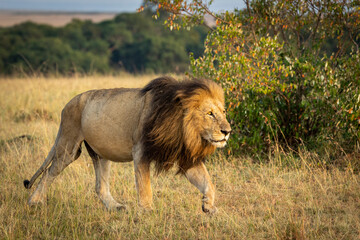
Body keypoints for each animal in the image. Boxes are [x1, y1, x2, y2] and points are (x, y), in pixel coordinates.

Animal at [23, 76, 231, 213]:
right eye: (210, 114)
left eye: (223, 112)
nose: (227, 131)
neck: (182, 129)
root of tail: (67, 104)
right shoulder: (140, 152)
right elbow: (145, 187)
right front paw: (147, 211)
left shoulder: (185, 157)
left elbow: (207, 182)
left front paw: (208, 206)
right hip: (68, 145)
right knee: (48, 173)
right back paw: (34, 202)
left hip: (101, 153)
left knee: (100, 187)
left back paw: (115, 207)